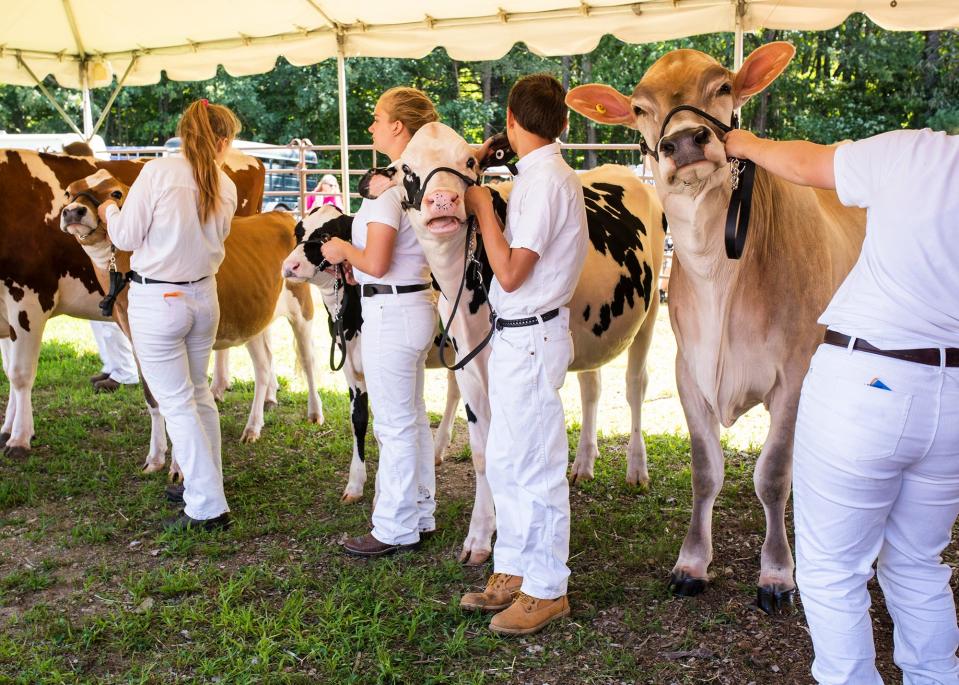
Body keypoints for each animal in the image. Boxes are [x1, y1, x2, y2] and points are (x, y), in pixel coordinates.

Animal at [59, 168, 322, 472]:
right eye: (68, 192)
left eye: (116, 193)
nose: (73, 211)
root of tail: (278, 215)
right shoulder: (138, 341)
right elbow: (153, 398)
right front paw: (155, 458)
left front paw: (179, 467)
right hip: (254, 318)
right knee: (264, 366)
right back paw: (253, 427)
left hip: (302, 307)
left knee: (308, 359)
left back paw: (315, 413)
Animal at [326, 120, 664, 564]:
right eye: (407, 169)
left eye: (469, 162)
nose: (443, 199)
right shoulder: (469, 366)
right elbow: (484, 452)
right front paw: (482, 534)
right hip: (590, 333)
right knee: (591, 386)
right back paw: (583, 465)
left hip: (651, 311)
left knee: (636, 387)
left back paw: (636, 470)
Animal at [568, 40, 872, 612]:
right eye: (639, 107)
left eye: (724, 86)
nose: (685, 141)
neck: (719, 278)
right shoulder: (689, 372)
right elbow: (705, 473)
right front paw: (692, 563)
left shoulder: (794, 375)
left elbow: (772, 476)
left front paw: (777, 573)